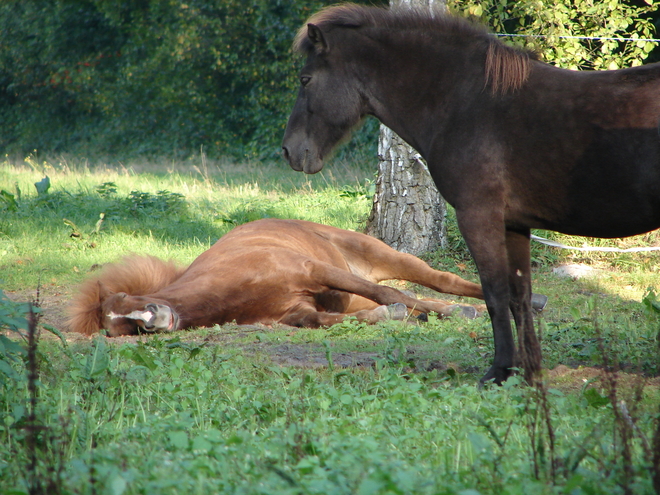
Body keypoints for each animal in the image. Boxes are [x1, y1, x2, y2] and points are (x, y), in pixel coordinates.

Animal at [68, 220, 490, 340]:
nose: (154, 319)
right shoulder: (296, 313)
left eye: (129, 298)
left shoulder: (315, 271)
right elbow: (335, 320)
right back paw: (456, 312)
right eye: (121, 328)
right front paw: (394, 316)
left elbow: (386, 291)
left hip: (381, 256)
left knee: (441, 280)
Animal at [282, 1, 660, 386]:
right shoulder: (514, 225)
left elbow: (495, 294)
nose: (289, 151)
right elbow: (519, 296)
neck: (465, 103)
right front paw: (529, 372)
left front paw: (499, 371)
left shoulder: (478, 217)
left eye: (305, 80)